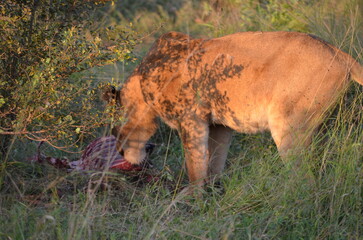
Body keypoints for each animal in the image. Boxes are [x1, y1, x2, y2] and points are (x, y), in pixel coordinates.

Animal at [106, 30, 363, 188]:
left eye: (115, 135)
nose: (120, 152)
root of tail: (341, 54)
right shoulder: (219, 125)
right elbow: (214, 162)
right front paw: (211, 195)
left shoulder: (191, 120)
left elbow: (194, 166)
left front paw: (190, 200)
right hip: (319, 127)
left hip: (288, 124)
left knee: (303, 179)